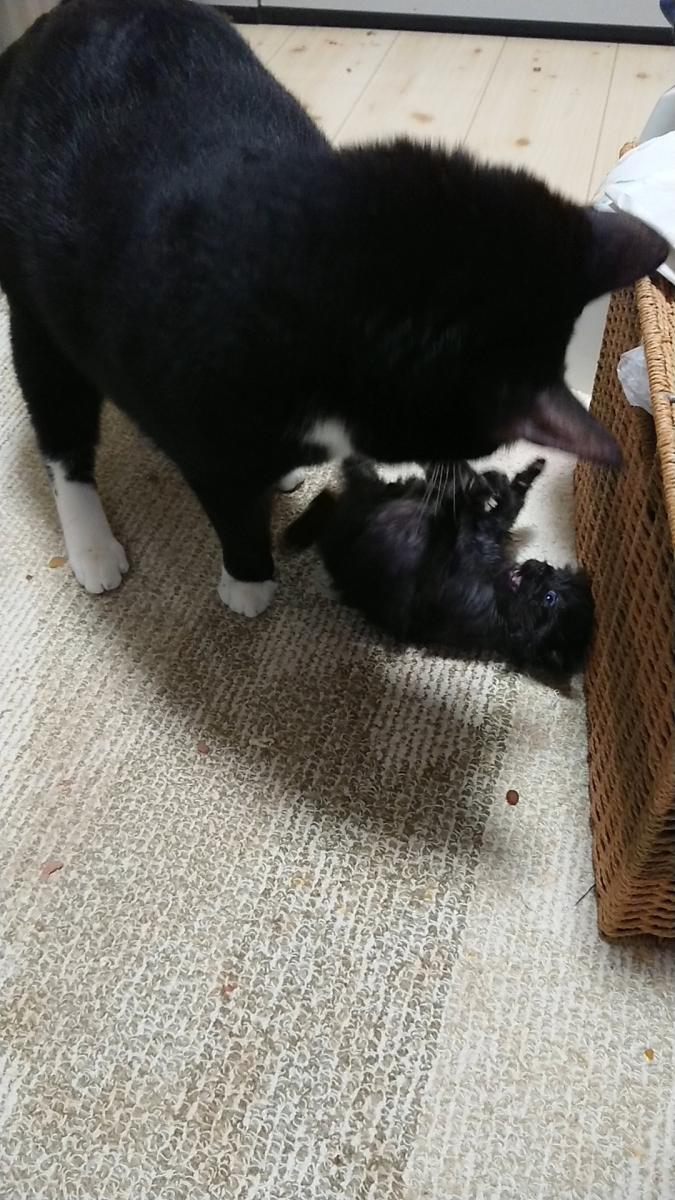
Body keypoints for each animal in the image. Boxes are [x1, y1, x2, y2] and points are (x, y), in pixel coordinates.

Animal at [0, 0, 667, 616]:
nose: (457, 474)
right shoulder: (203, 434)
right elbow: (231, 505)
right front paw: (248, 581)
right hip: (38, 311)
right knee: (61, 431)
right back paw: (92, 543)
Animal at [285, 457, 593, 674]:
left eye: (550, 598)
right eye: (553, 573)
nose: (539, 567)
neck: (496, 589)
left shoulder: (436, 580)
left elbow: (449, 522)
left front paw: (467, 488)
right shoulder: (486, 529)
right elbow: (507, 507)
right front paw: (514, 477)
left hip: (346, 527)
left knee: (338, 495)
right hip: (387, 494)